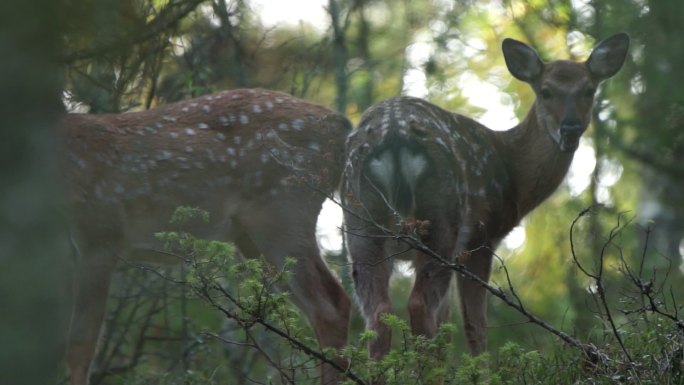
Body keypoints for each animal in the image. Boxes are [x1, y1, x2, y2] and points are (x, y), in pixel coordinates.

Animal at [60, 88, 352, 384]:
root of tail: (341, 125)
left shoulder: (101, 232)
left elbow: (80, 344)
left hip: (283, 210)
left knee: (332, 305)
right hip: (252, 236)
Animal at [342, 33, 632, 360]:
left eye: (589, 90)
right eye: (546, 91)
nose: (569, 129)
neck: (512, 172)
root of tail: (393, 135)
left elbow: (447, 328)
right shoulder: (481, 239)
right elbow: (475, 326)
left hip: (361, 222)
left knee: (379, 313)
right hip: (442, 218)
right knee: (418, 304)